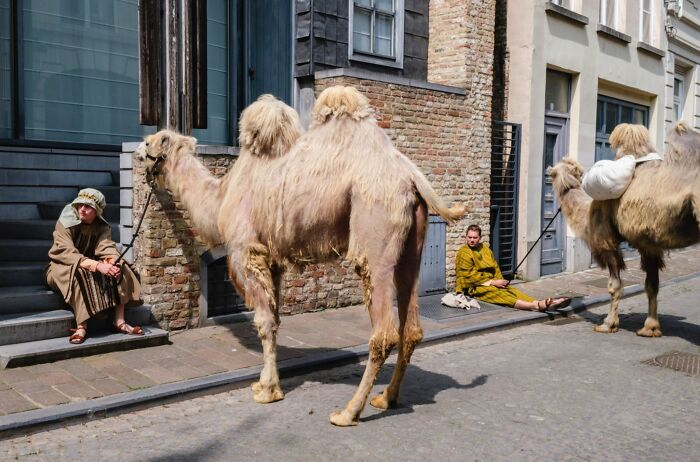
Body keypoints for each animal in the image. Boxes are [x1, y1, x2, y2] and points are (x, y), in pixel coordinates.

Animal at [136, 86, 466, 426]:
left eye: (150, 142)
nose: (137, 152)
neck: (222, 197)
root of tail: (411, 178)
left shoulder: (246, 252)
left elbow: (263, 322)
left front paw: (267, 390)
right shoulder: (273, 259)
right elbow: (275, 319)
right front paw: (266, 384)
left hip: (375, 234)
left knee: (384, 330)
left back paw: (348, 411)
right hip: (412, 246)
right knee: (410, 326)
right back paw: (386, 398)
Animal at [548, 122, 700, 337]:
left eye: (553, 173)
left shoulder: (606, 240)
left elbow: (614, 286)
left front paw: (608, 324)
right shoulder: (649, 244)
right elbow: (652, 285)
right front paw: (650, 328)